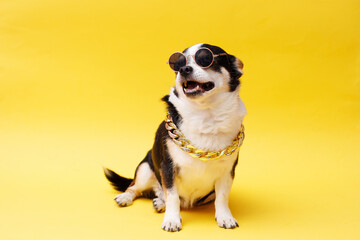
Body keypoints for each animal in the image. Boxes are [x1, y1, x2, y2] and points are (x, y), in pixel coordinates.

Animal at [102, 43, 246, 231]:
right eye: (177, 64)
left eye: (206, 59)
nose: (184, 69)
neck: (205, 116)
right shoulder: (168, 168)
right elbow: (172, 195)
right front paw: (171, 220)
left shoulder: (227, 172)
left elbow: (222, 197)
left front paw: (225, 217)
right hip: (145, 169)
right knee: (136, 187)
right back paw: (128, 197)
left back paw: (159, 202)